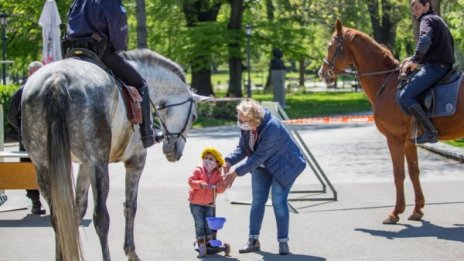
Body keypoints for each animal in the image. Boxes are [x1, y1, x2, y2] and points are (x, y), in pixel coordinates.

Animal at [21, 49, 202, 260]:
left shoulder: (84, 165)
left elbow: (77, 210)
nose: (174, 151)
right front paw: (131, 251)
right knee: (101, 218)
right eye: (194, 117)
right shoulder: (135, 161)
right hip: (99, 165)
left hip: (45, 166)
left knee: (58, 216)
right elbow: (130, 206)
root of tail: (56, 80)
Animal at [320, 19, 464, 223]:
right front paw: (417, 210)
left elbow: (398, 174)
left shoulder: (394, 139)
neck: (386, 83)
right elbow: (413, 172)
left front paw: (395, 212)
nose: (322, 72)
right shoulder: (409, 142)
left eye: (330, 45)